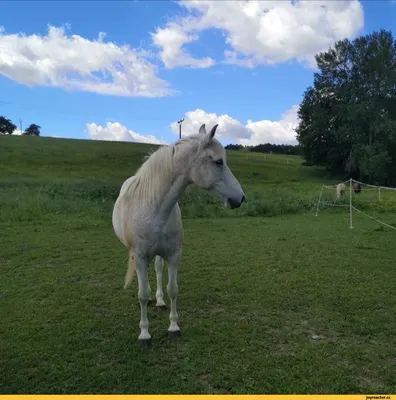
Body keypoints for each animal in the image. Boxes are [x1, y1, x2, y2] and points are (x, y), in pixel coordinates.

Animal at [111, 124, 244, 346]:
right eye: (218, 162)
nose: (240, 198)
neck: (154, 209)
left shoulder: (174, 255)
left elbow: (173, 289)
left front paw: (173, 327)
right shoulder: (139, 257)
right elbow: (142, 295)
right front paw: (144, 334)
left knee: (157, 270)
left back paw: (160, 301)